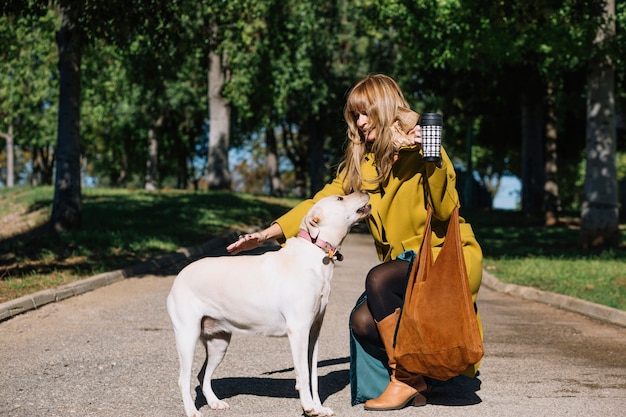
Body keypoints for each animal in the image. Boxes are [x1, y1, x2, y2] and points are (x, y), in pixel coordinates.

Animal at [167, 192, 370, 416]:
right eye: (340, 198)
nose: (365, 191)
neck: (314, 252)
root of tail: (179, 276)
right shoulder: (298, 331)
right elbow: (303, 375)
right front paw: (308, 407)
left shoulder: (314, 332)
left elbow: (313, 376)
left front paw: (319, 407)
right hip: (188, 336)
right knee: (183, 379)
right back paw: (192, 411)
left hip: (219, 343)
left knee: (203, 374)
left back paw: (214, 402)